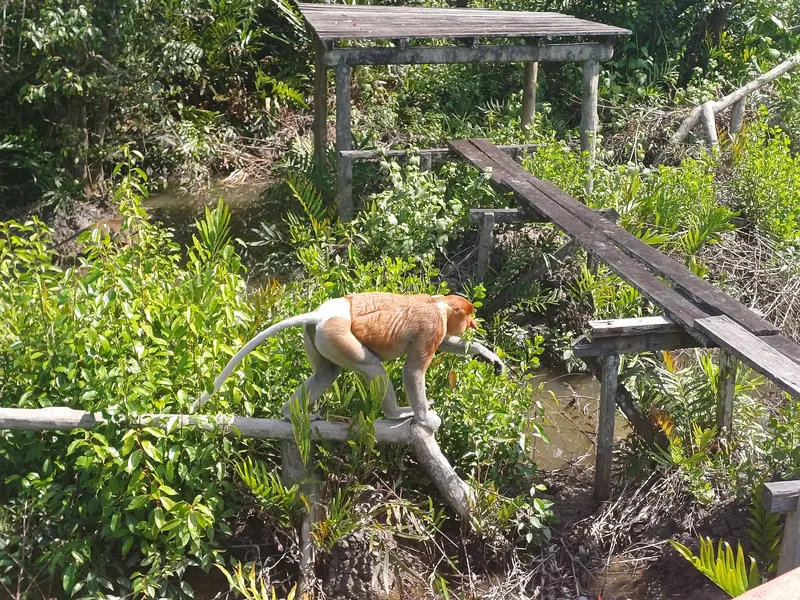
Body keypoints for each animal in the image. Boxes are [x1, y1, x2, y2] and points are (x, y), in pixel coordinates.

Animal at [191, 292, 505, 431]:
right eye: (467, 315)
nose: (473, 324)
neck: (438, 303)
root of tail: (322, 315)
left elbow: (447, 343)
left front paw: (488, 355)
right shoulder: (431, 326)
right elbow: (414, 369)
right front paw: (427, 419)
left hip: (316, 337)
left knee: (325, 374)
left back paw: (291, 413)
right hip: (337, 336)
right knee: (372, 367)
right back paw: (396, 413)